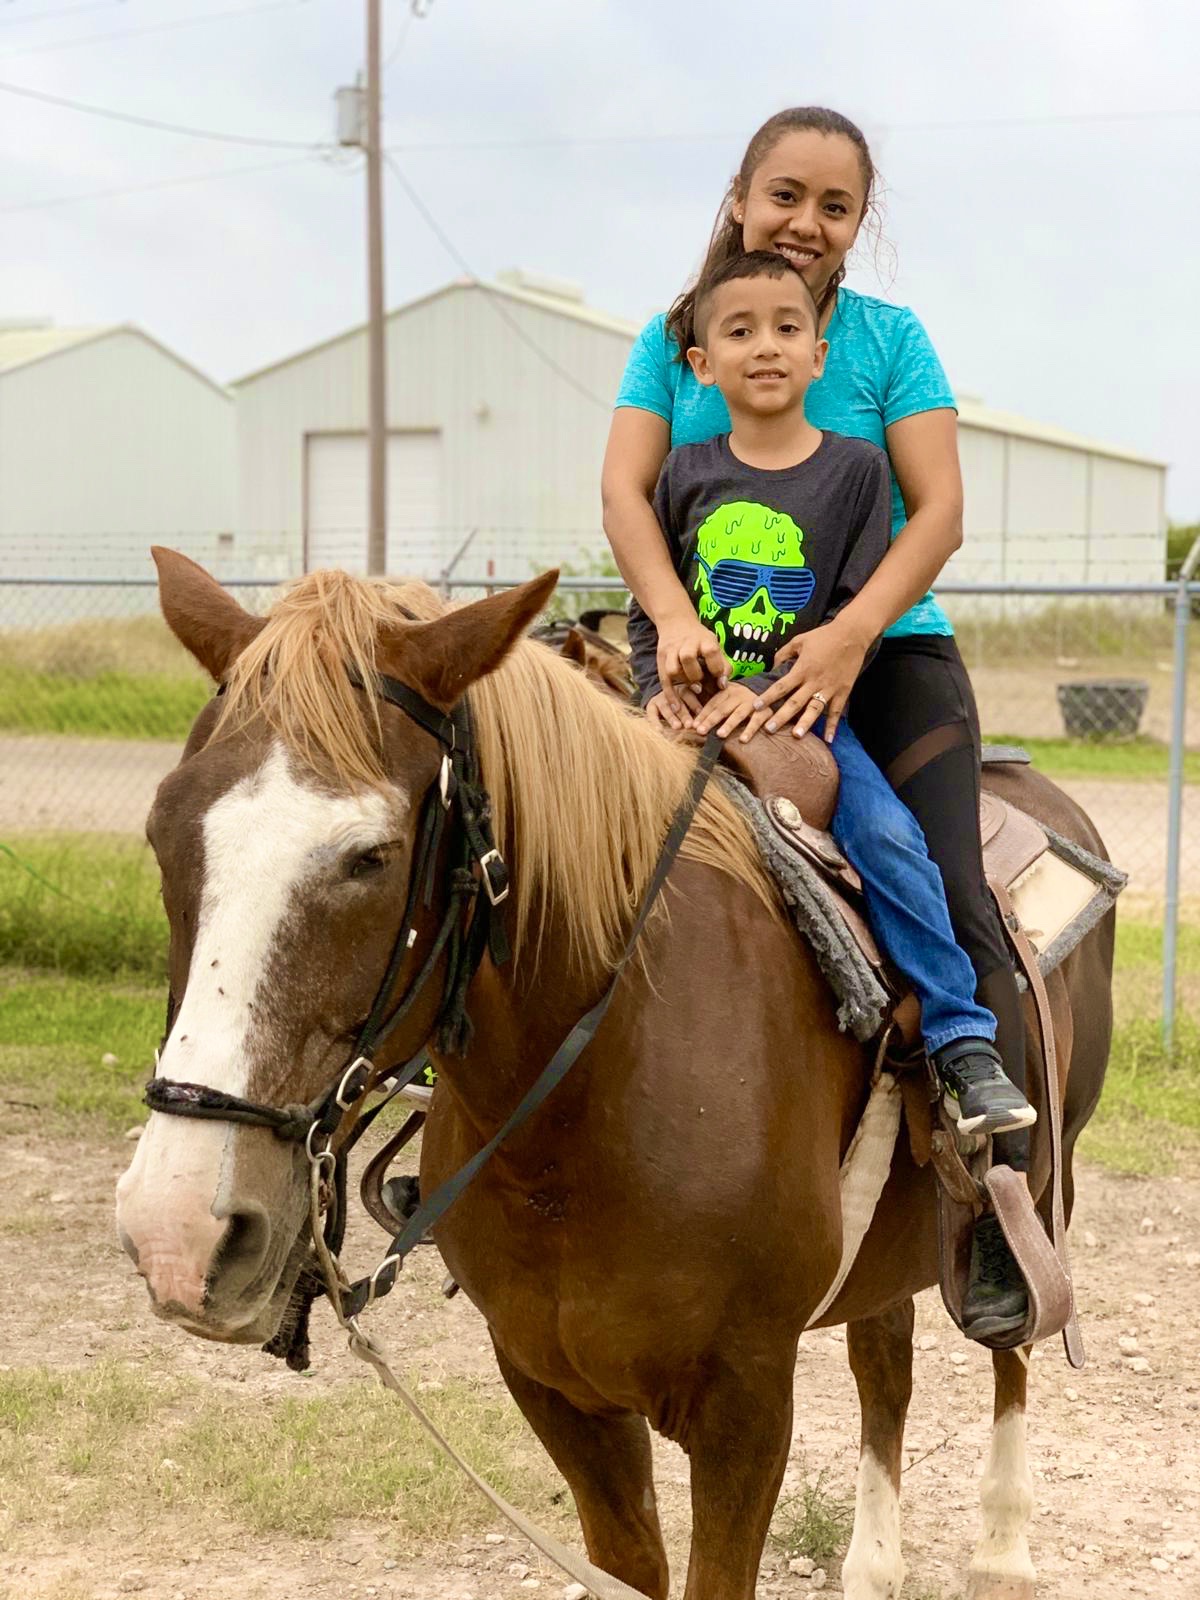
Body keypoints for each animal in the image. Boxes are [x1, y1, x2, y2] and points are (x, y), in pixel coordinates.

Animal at [117, 550, 1113, 1600]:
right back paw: (874, 1564)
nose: (178, 1232)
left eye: (371, 857)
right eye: (162, 830)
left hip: (1043, 1186)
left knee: (1015, 1337)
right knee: (885, 1358)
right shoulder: (552, 1385)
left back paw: (1002, 1544)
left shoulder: (747, 1401)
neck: (583, 1117)